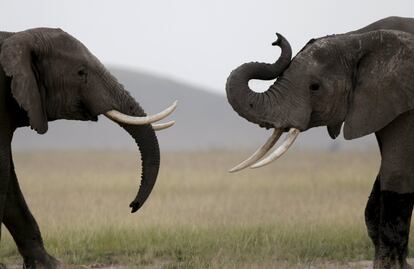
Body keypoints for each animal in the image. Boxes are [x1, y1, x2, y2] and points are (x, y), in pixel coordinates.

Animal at [0, 28, 176, 266]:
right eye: (81, 73)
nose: (132, 206)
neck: (16, 36)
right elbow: (2, 172)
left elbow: (8, 178)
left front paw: (51, 265)